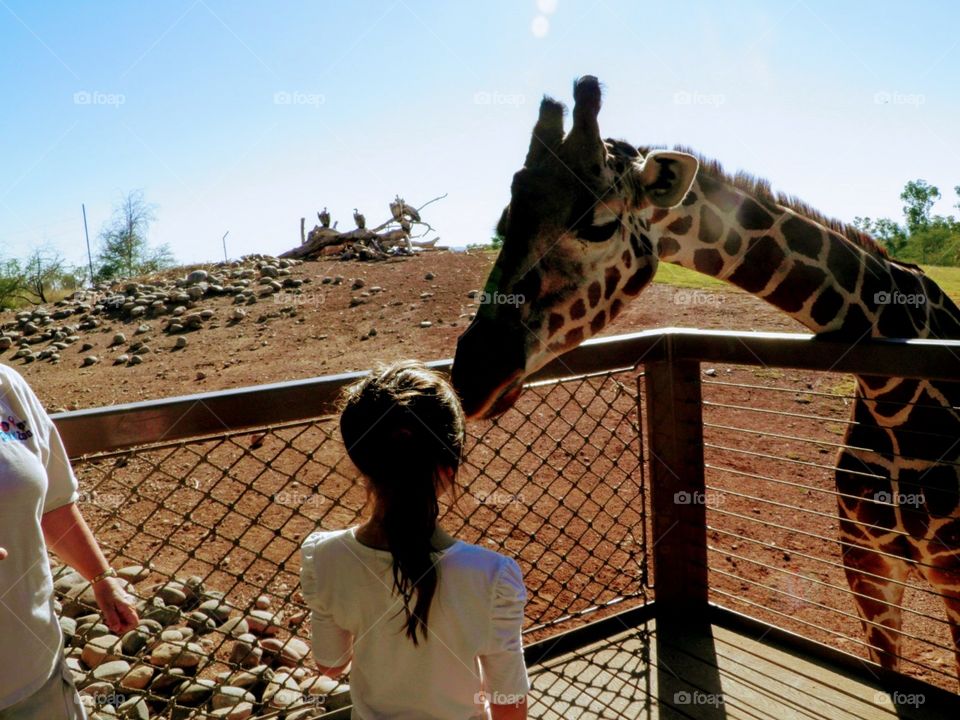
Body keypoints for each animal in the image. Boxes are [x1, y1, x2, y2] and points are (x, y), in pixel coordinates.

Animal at [451, 75, 960, 678]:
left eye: (598, 225)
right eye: (505, 222)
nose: (473, 374)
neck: (893, 390)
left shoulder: (952, 574)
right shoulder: (866, 559)